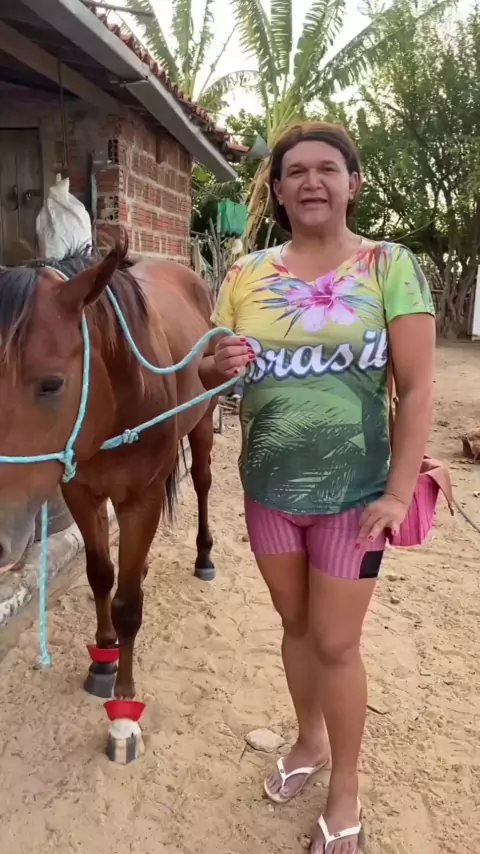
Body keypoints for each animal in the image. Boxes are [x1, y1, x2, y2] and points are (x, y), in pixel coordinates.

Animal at [0, 234, 219, 702]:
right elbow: (101, 575)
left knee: (203, 482)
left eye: (51, 384)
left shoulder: (141, 500)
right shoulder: (81, 494)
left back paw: (204, 556)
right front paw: (103, 656)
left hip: (204, 423)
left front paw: (124, 686)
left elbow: (128, 604)